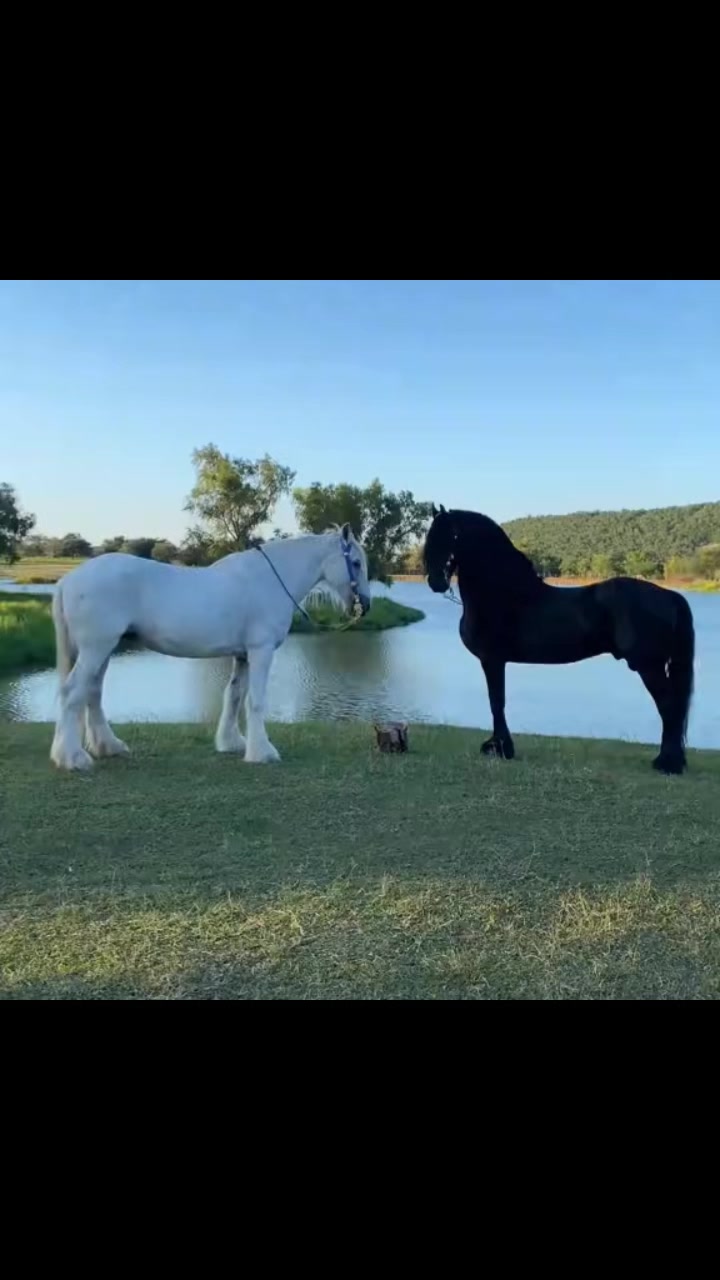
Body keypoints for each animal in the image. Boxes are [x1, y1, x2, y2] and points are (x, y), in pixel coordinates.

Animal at [49, 525, 371, 772]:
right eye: (355, 563)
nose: (365, 606)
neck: (269, 580)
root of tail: (68, 579)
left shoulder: (242, 655)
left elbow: (234, 696)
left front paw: (232, 743)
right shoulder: (261, 651)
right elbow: (256, 700)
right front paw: (263, 752)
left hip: (103, 649)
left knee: (92, 693)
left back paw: (106, 747)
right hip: (96, 648)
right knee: (73, 692)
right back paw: (73, 758)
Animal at [423, 505, 695, 775]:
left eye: (452, 536)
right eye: (430, 537)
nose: (436, 582)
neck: (504, 594)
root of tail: (670, 596)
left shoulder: (492, 660)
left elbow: (496, 701)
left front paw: (500, 748)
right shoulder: (494, 661)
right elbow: (497, 701)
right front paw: (499, 746)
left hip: (649, 666)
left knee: (668, 709)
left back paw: (667, 763)